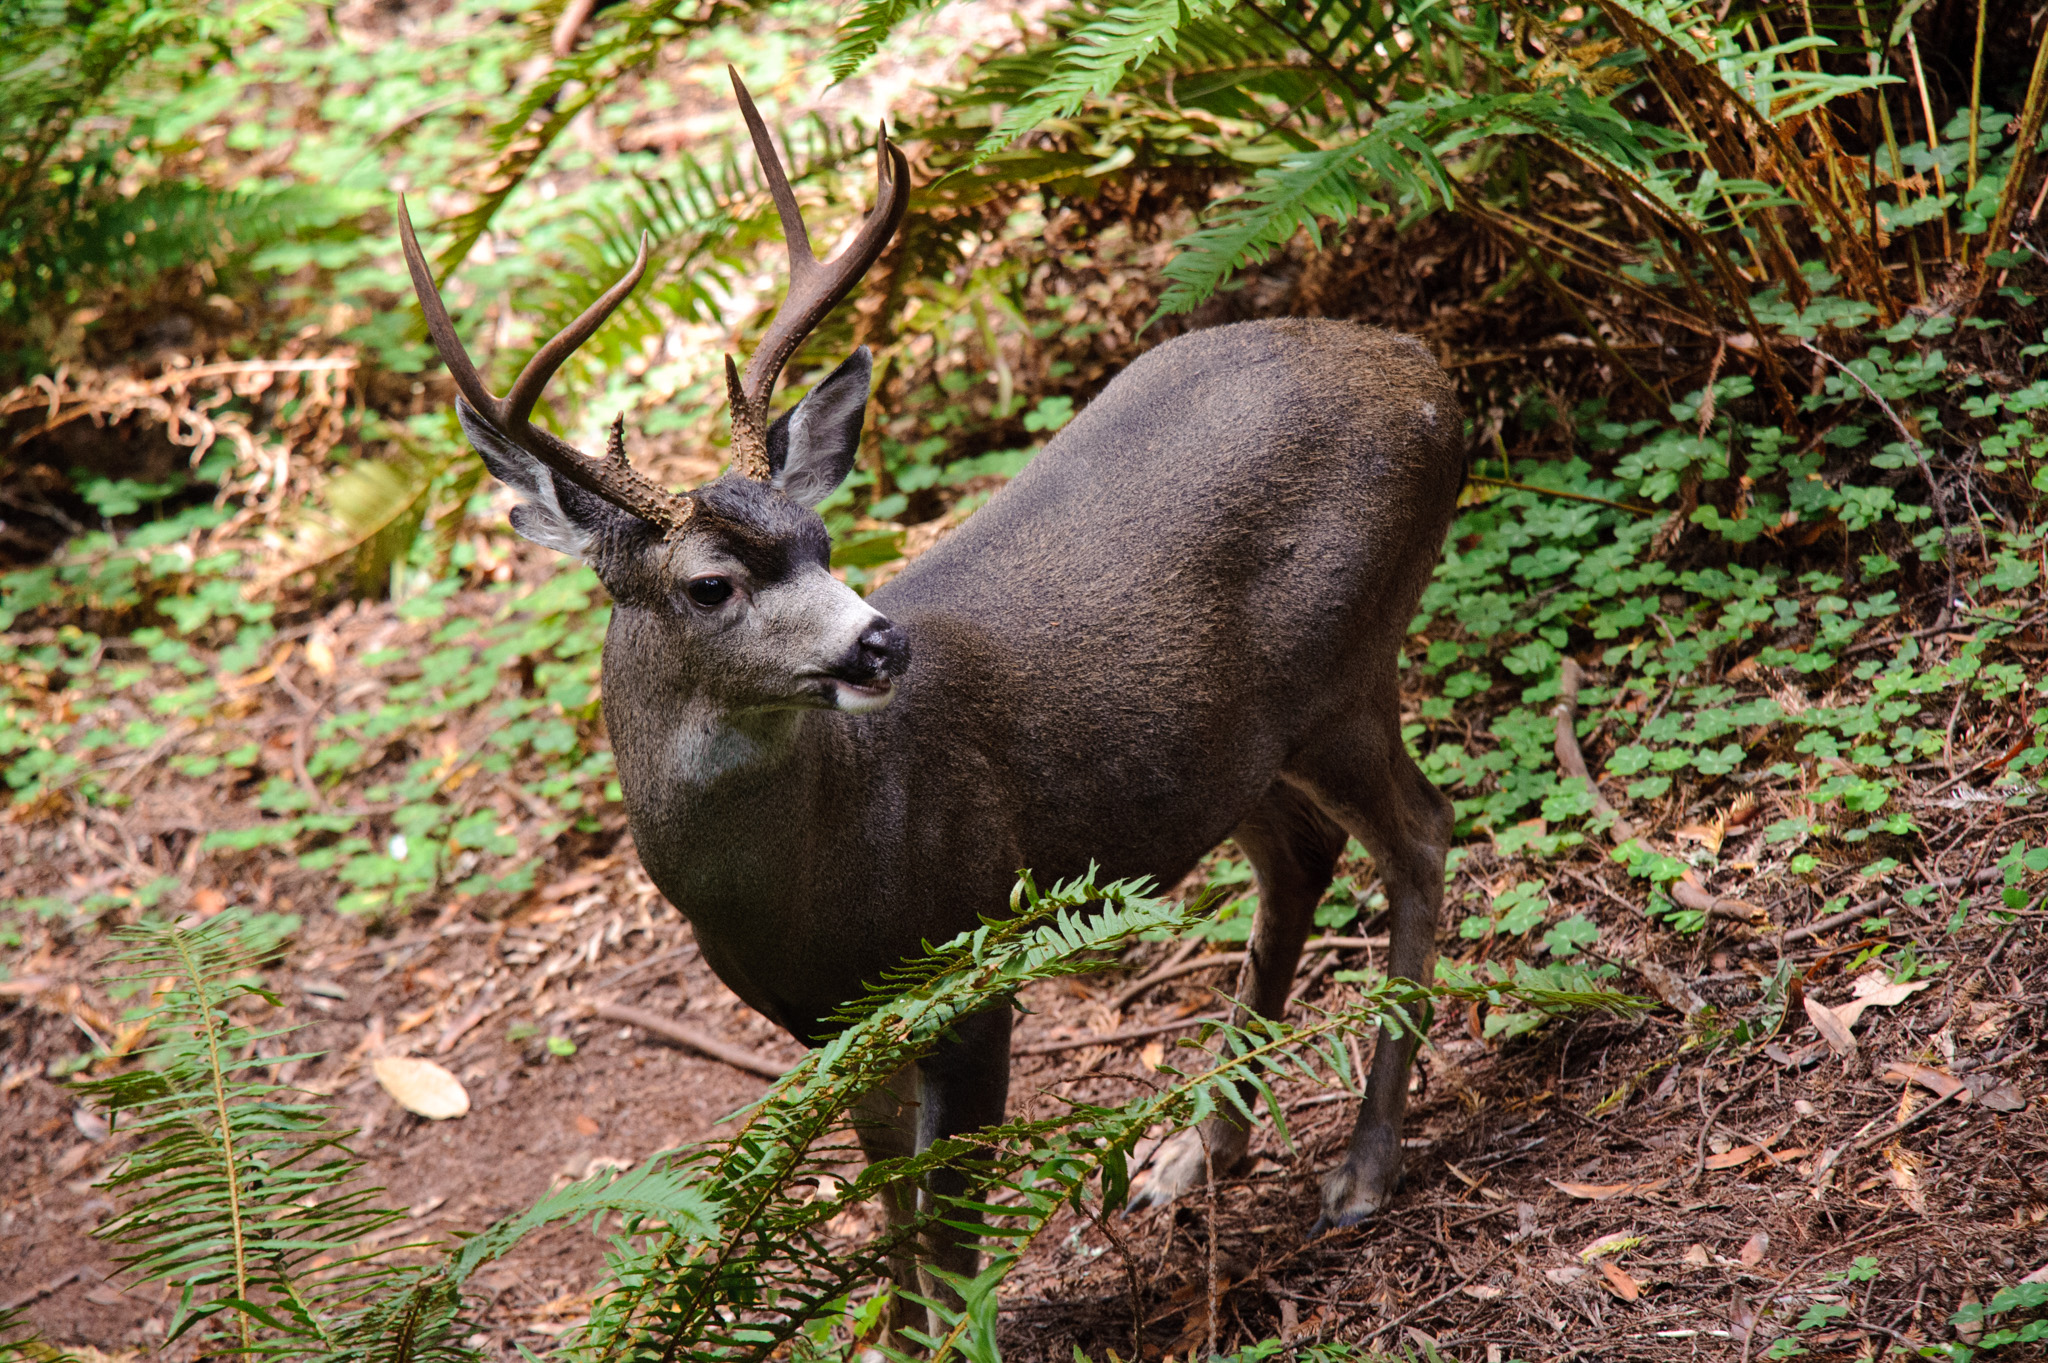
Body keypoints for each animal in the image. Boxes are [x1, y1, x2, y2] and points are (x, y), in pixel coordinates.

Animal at [399, 69, 1464, 1333]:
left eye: (819, 538)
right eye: (710, 584)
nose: (878, 642)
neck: (809, 887)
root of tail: (1428, 375)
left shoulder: (969, 961)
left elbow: (949, 1246)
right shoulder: (832, 1027)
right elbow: (896, 1224)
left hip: (1350, 662)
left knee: (1419, 832)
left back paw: (1360, 1170)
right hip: (1226, 745)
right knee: (1299, 855)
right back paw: (1194, 1156)